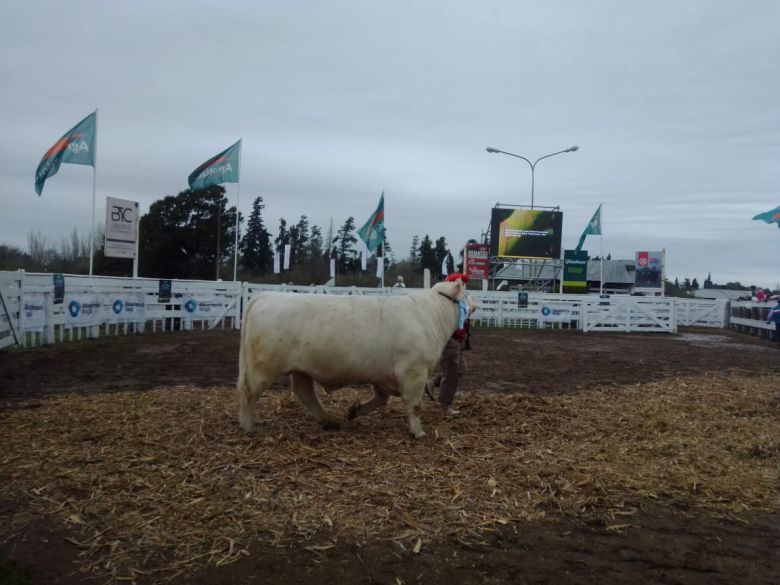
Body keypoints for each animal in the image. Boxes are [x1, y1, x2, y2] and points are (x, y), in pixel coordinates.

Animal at [235, 278, 472, 438]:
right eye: (467, 294)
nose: (474, 302)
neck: (430, 314)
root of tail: (264, 296)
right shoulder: (414, 371)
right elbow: (414, 405)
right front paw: (418, 432)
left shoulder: (382, 374)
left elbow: (381, 399)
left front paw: (355, 411)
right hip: (262, 368)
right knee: (248, 393)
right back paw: (247, 425)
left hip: (301, 369)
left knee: (305, 393)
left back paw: (328, 420)